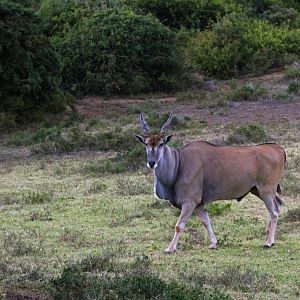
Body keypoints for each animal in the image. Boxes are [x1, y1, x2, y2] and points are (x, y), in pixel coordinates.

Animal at [134, 112, 286, 253]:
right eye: (146, 144)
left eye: (161, 144)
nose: (151, 162)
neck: (180, 162)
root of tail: (278, 148)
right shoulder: (199, 204)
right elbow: (206, 221)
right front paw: (213, 243)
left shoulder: (190, 201)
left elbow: (179, 225)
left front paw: (170, 248)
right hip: (257, 190)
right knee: (278, 206)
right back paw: (271, 239)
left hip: (266, 190)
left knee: (274, 211)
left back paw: (268, 242)